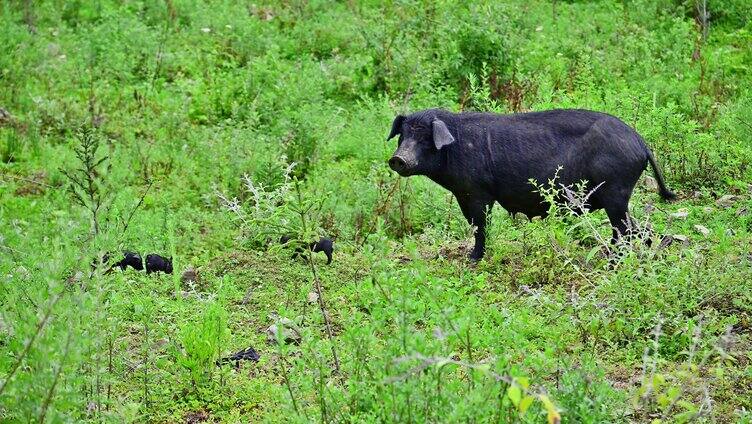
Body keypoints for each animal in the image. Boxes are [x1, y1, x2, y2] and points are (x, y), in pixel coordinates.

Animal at [388, 108, 676, 262]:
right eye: (403, 135)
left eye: (425, 138)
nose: (397, 159)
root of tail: (641, 143)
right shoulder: (463, 193)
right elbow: (473, 224)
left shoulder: (480, 192)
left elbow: (481, 225)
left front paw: (474, 258)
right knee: (634, 228)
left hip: (615, 190)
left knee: (624, 231)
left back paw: (612, 261)